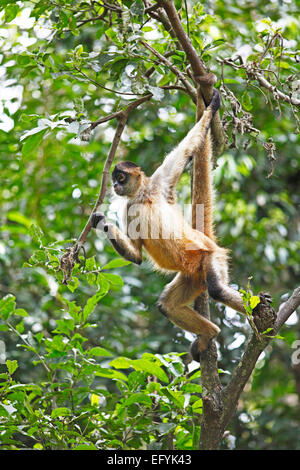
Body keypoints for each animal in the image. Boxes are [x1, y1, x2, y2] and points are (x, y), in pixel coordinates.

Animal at [92, 90, 262, 358]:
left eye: (120, 177)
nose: (116, 186)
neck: (143, 197)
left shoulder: (158, 185)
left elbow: (185, 150)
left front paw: (212, 107)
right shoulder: (130, 209)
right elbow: (137, 256)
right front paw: (100, 222)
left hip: (210, 257)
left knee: (217, 289)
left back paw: (258, 309)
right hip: (193, 276)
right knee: (167, 305)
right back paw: (210, 332)